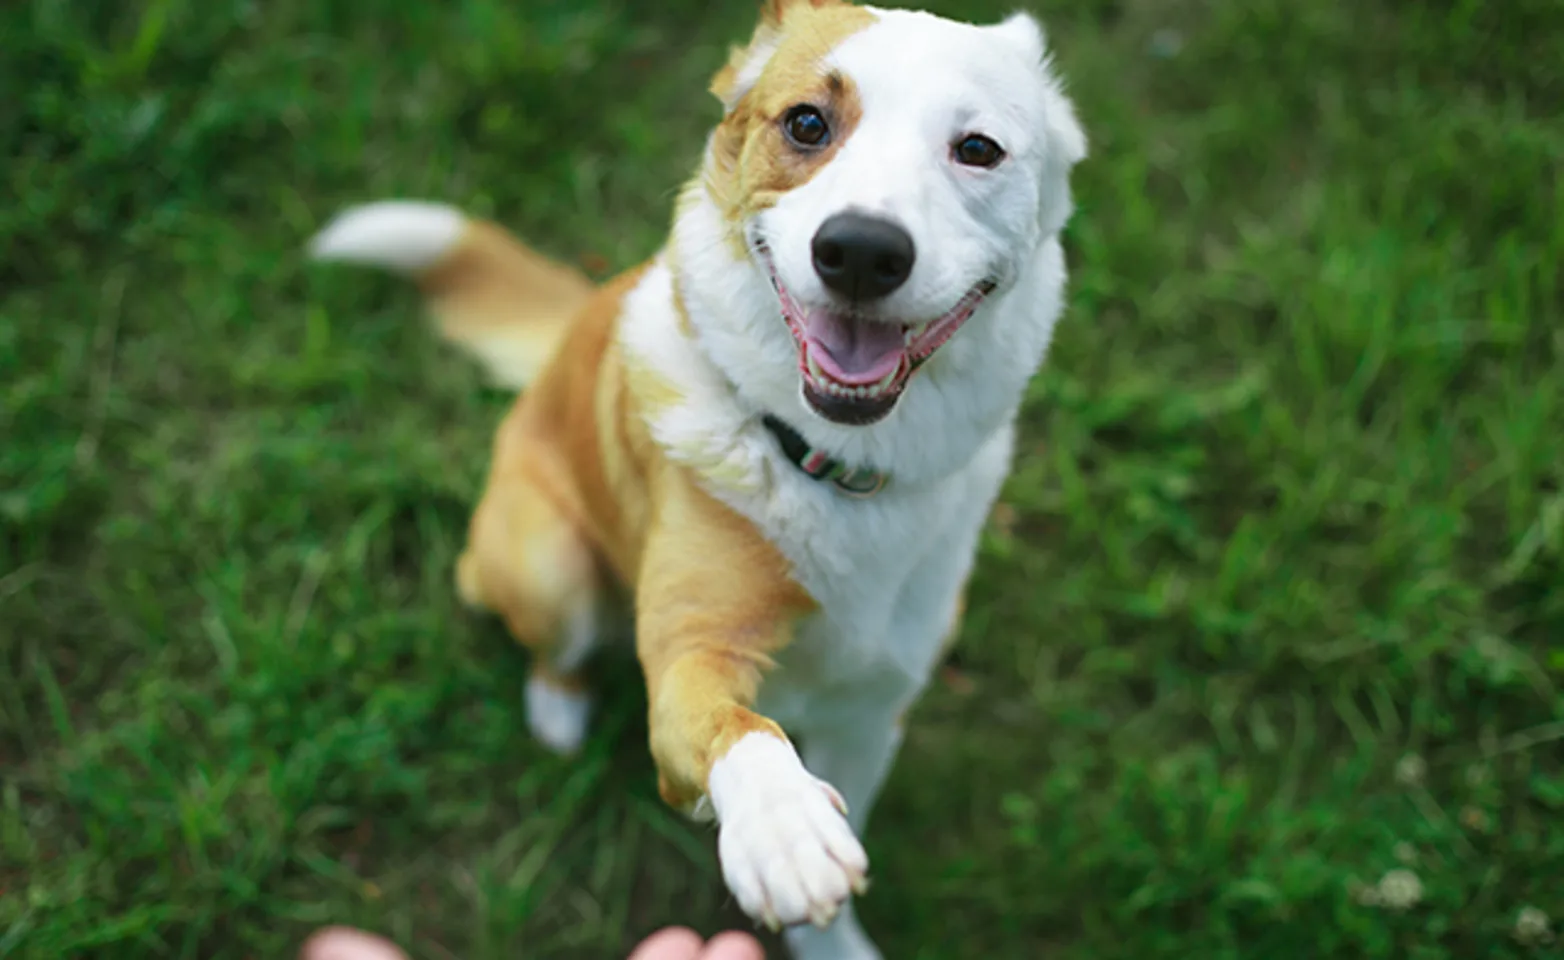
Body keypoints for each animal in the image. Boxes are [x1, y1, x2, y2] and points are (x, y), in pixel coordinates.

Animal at [306, 3, 1088, 956]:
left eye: (977, 148)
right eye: (806, 123)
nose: (862, 252)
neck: (836, 467)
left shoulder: (873, 711)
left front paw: (832, 937)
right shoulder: (691, 657)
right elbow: (736, 727)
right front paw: (784, 831)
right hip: (549, 564)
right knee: (543, 636)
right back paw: (558, 709)